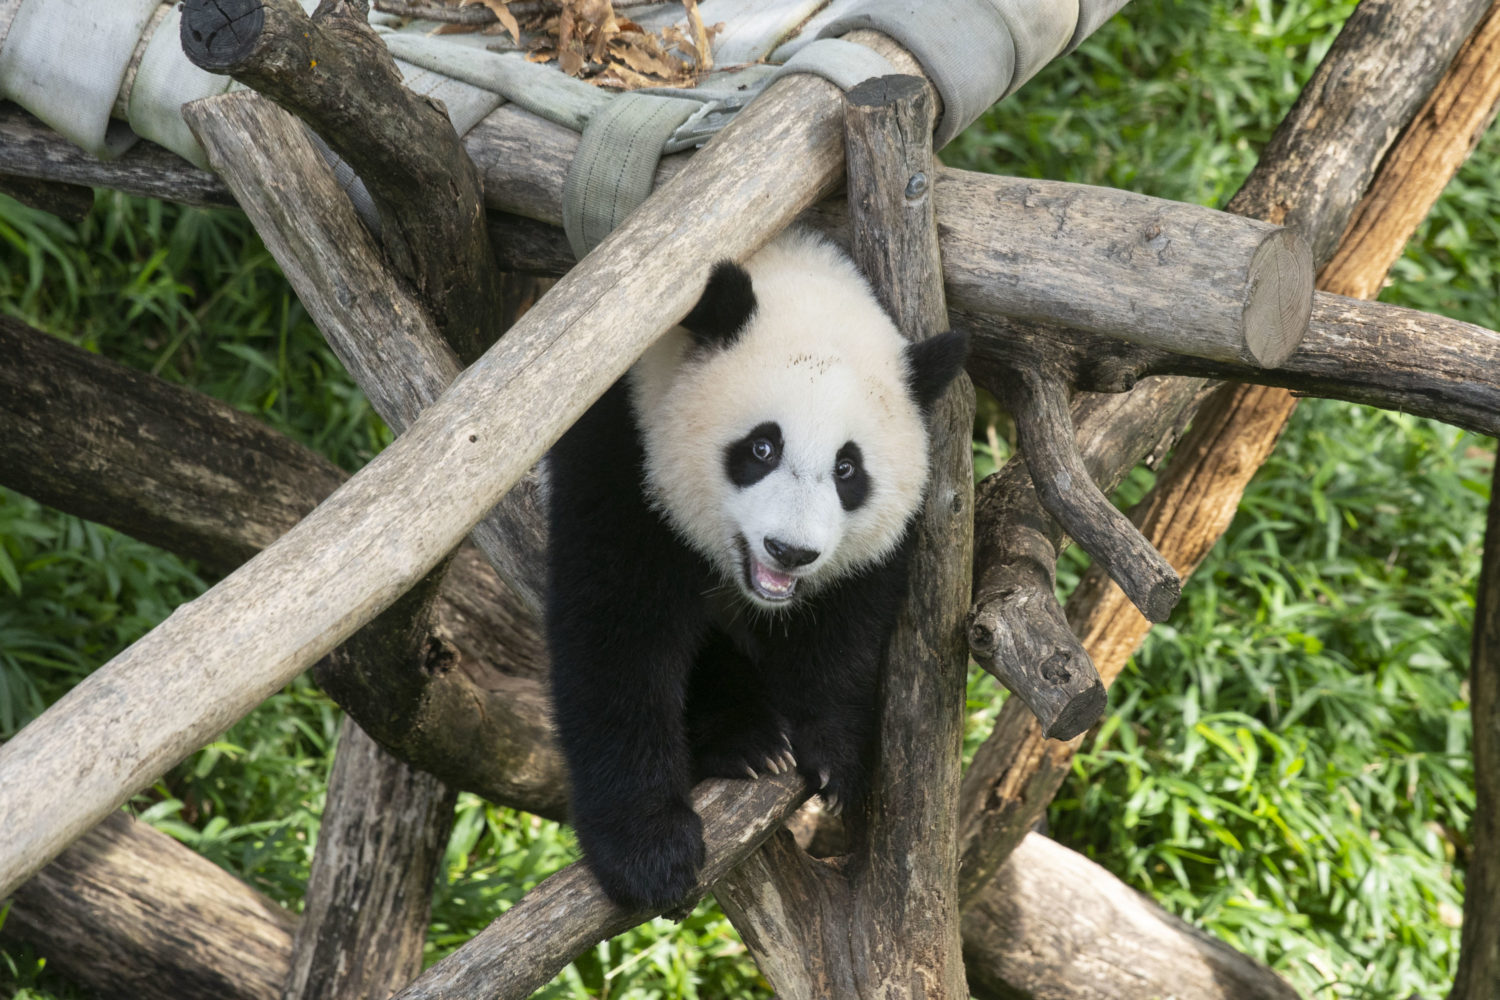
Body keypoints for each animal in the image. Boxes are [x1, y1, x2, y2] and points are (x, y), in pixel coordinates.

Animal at [546, 229, 966, 917]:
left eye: (847, 469)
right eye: (762, 448)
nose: (789, 551)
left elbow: (851, 620)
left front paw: (834, 752)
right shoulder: (623, 443)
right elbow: (618, 630)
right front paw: (649, 851)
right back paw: (744, 736)